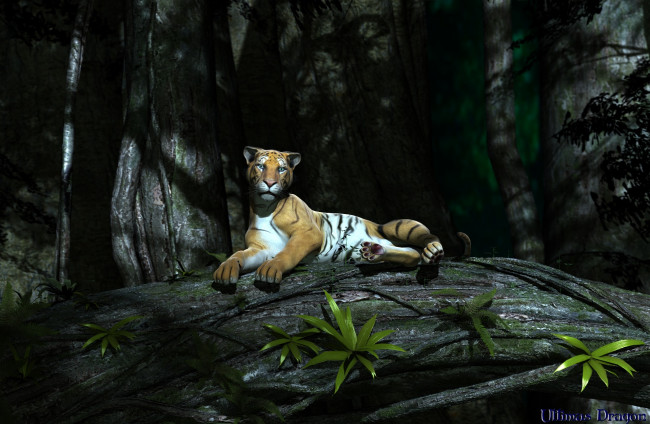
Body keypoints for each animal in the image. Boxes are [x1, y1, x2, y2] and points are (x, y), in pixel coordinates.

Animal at [213, 146, 470, 287]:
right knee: (411, 255)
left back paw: (432, 251)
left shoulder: (309, 234)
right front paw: (225, 270)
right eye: (260, 166)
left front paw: (270, 270)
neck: (265, 208)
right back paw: (374, 252)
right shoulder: (260, 248)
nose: (269, 183)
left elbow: (288, 252)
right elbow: (238, 255)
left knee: (426, 239)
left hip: (398, 225)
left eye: (282, 169)